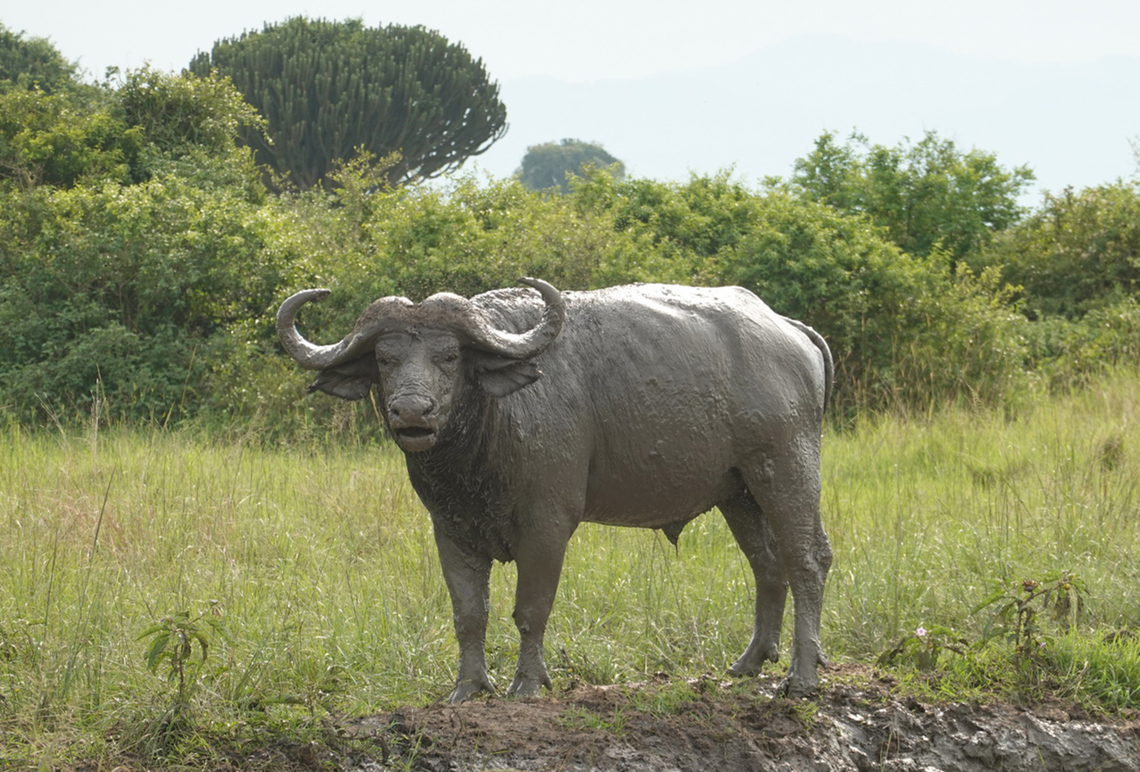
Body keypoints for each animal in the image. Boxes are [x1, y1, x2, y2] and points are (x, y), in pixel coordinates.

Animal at [277, 278, 833, 701]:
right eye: (385, 358)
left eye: (450, 355)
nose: (412, 412)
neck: (486, 440)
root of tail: (789, 329)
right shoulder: (450, 529)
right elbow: (468, 613)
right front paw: (469, 687)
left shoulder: (547, 526)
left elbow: (531, 609)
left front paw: (526, 683)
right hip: (737, 493)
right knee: (767, 563)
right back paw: (750, 662)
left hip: (786, 467)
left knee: (806, 560)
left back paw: (801, 676)